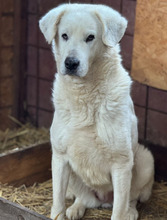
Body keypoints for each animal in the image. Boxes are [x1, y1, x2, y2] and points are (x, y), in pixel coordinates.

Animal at [39, 3, 154, 220]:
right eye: (64, 35)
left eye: (90, 37)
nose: (71, 63)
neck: (85, 95)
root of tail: (103, 200)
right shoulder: (59, 157)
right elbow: (57, 201)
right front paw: (61, 213)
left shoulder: (121, 163)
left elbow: (119, 210)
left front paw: (124, 212)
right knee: (83, 198)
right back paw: (76, 208)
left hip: (144, 160)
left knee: (131, 199)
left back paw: (131, 212)